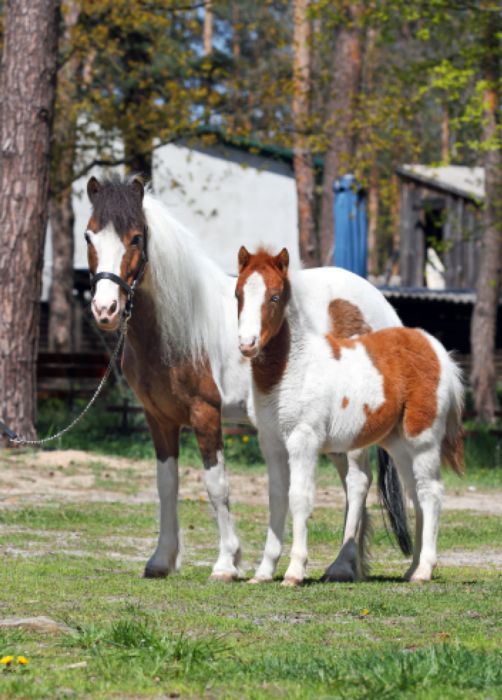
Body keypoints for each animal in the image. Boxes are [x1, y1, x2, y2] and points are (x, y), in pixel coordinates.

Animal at [85, 175, 404, 580]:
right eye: (89, 236)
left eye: (136, 238)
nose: (105, 309)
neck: (181, 327)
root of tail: (381, 305)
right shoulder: (159, 418)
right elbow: (166, 484)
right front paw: (161, 560)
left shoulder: (206, 413)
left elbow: (216, 485)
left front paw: (227, 562)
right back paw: (347, 563)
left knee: (358, 481)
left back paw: (342, 566)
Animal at [237, 246, 464, 584]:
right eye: (238, 293)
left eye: (274, 297)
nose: (247, 343)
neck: (293, 368)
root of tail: (436, 350)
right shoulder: (272, 444)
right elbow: (277, 500)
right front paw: (263, 572)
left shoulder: (304, 440)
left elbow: (300, 498)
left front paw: (295, 571)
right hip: (398, 445)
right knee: (416, 493)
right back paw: (412, 569)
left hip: (422, 441)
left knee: (431, 493)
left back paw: (424, 570)